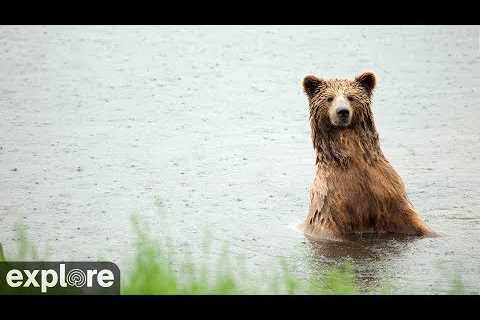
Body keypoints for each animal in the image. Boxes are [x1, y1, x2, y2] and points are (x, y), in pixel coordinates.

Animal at [298, 70, 434, 240]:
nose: (342, 111)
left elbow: (412, 220)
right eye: (329, 98)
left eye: (351, 97)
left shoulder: (386, 190)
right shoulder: (331, 204)